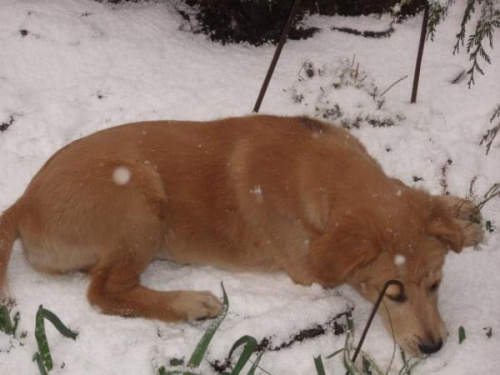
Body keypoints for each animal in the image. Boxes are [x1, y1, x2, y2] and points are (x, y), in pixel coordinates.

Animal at [0, 116, 484, 356]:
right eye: (391, 293)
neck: (322, 170)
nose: (434, 347)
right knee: (104, 291)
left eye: (436, 285)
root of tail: (22, 201)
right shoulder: (307, 266)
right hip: (138, 196)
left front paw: (462, 215)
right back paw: (190, 303)